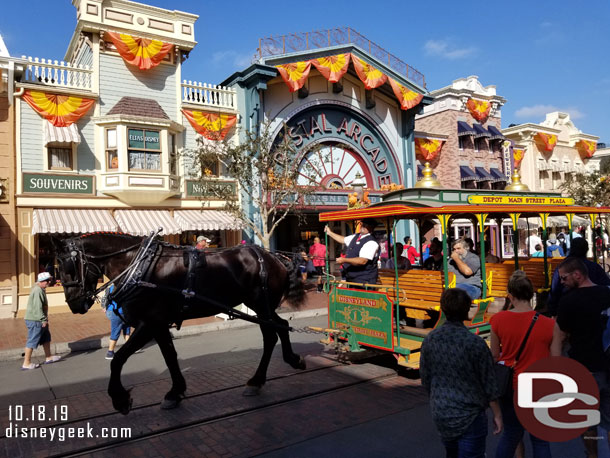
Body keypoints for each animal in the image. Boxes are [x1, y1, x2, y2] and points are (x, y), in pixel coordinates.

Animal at [52, 234, 306, 414]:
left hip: (261, 305)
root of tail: (276, 258)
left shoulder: (149, 323)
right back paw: (282, 365)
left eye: (68, 267)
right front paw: (175, 393)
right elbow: (170, 356)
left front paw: (120, 399)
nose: (74, 304)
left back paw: (261, 377)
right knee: (280, 327)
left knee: (272, 333)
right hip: (262, 307)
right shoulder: (159, 324)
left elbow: (119, 359)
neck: (137, 267)